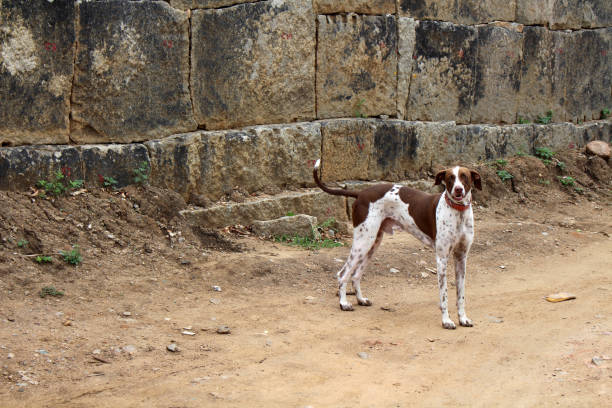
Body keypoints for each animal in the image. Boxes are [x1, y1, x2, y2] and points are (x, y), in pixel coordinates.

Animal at [314, 161, 480, 330]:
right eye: (450, 177)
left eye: (464, 176)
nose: (458, 189)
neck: (458, 212)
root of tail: (361, 193)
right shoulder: (442, 259)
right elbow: (444, 294)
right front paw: (446, 321)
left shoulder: (461, 258)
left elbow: (461, 294)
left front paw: (463, 318)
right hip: (363, 242)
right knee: (342, 274)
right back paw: (343, 303)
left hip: (372, 243)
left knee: (355, 275)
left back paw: (360, 300)